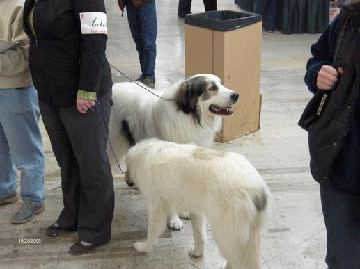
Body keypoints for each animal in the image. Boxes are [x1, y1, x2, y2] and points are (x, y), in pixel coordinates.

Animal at [109, 74, 239, 229]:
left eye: (221, 84)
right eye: (213, 88)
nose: (236, 95)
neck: (189, 118)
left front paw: (184, 211)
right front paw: (174, 220)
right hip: (113, 143)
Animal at [125, 138, 268, 268]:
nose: (128, 182)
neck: (142, 154)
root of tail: (257, 188)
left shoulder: (156, 206)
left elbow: (152, 231)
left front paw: (143, 247)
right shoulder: (196, 212)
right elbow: (199, 235)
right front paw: (197, 252)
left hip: (225, 233)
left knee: (238, 260)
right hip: (252, 235)